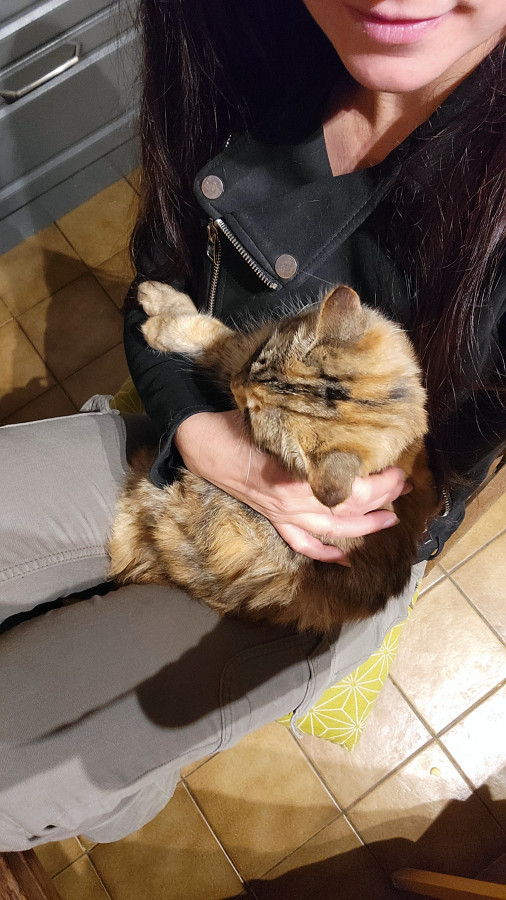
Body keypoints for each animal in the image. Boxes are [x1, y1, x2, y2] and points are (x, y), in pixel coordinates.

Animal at [108, 282, 437, 633]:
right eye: (258, 361)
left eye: (250, 417)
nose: (235, 384)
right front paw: (158, 297)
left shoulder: (230, 354)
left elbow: (210, 334)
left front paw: (157, 325)